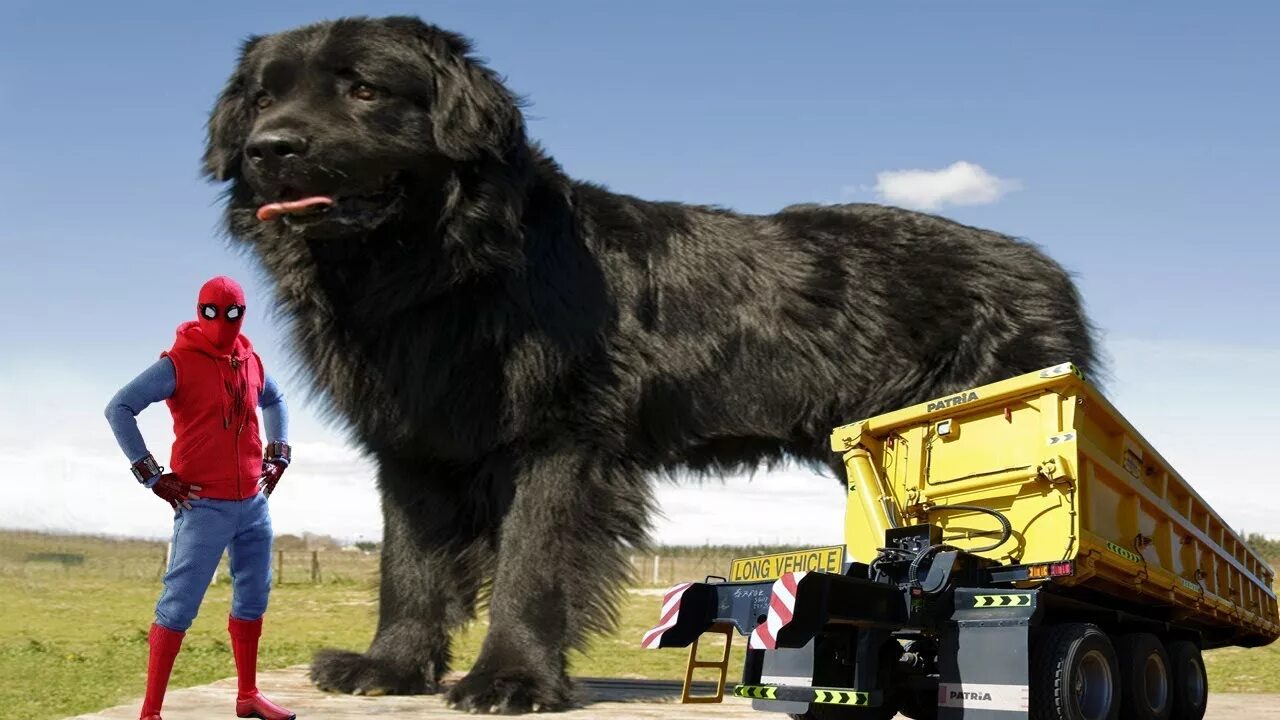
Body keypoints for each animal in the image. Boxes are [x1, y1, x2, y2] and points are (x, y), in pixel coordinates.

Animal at [204, 15, 1095, 712]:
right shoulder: (417, 446)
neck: (446, 266)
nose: (269, 147)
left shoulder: (562, 441)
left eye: (363, 90)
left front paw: (511, 680)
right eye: (263, 97)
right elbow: (410, 564)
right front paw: (389, 667)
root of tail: (1048, 269)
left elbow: (530, 562)